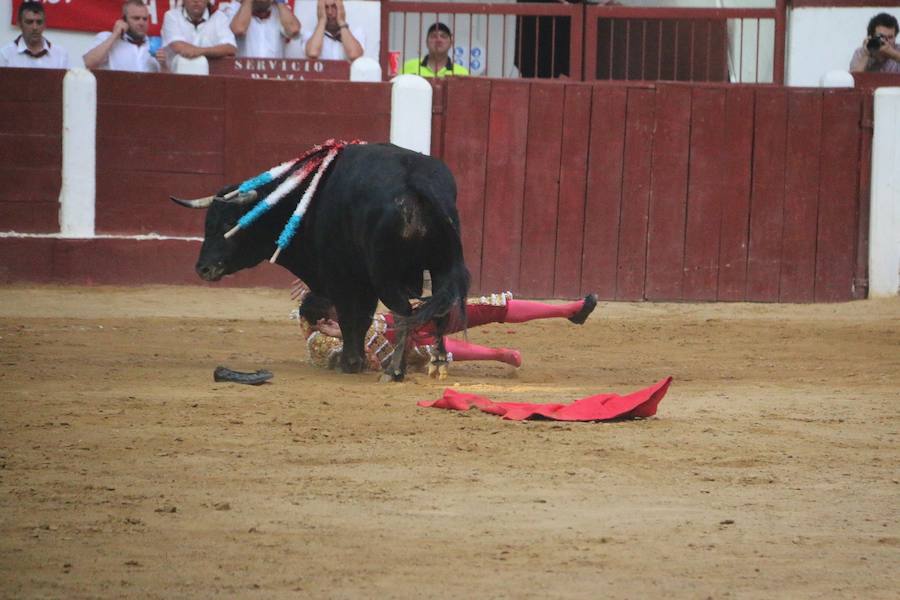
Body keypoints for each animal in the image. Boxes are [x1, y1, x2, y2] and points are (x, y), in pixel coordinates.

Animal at [173, 144, 474, 382]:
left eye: (227, 224)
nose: (203, 268)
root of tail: (416, 182)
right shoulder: (362, 280)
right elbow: (363, 318)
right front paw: (356, 360)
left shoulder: (342, 277)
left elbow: (350, 318)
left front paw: (350, 363)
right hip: (440, 264)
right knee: (439, 309)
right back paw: (437, 362)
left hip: (385, 274)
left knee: (403, 313)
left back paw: (394, 372)